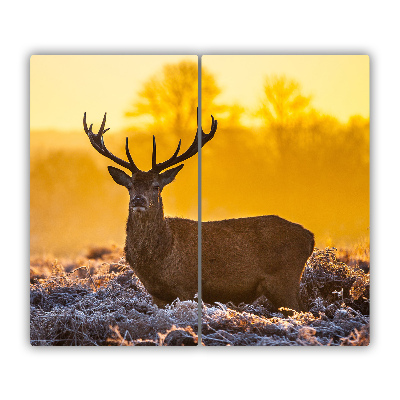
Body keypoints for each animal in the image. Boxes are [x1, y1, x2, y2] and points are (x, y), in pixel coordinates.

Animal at [83, 111, 316, 310]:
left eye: (156, 186)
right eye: (130, 186)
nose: (138, 200)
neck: (161, 258)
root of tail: (309, 236)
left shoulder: (188, 287)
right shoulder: (157, 295)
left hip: (283, 279)